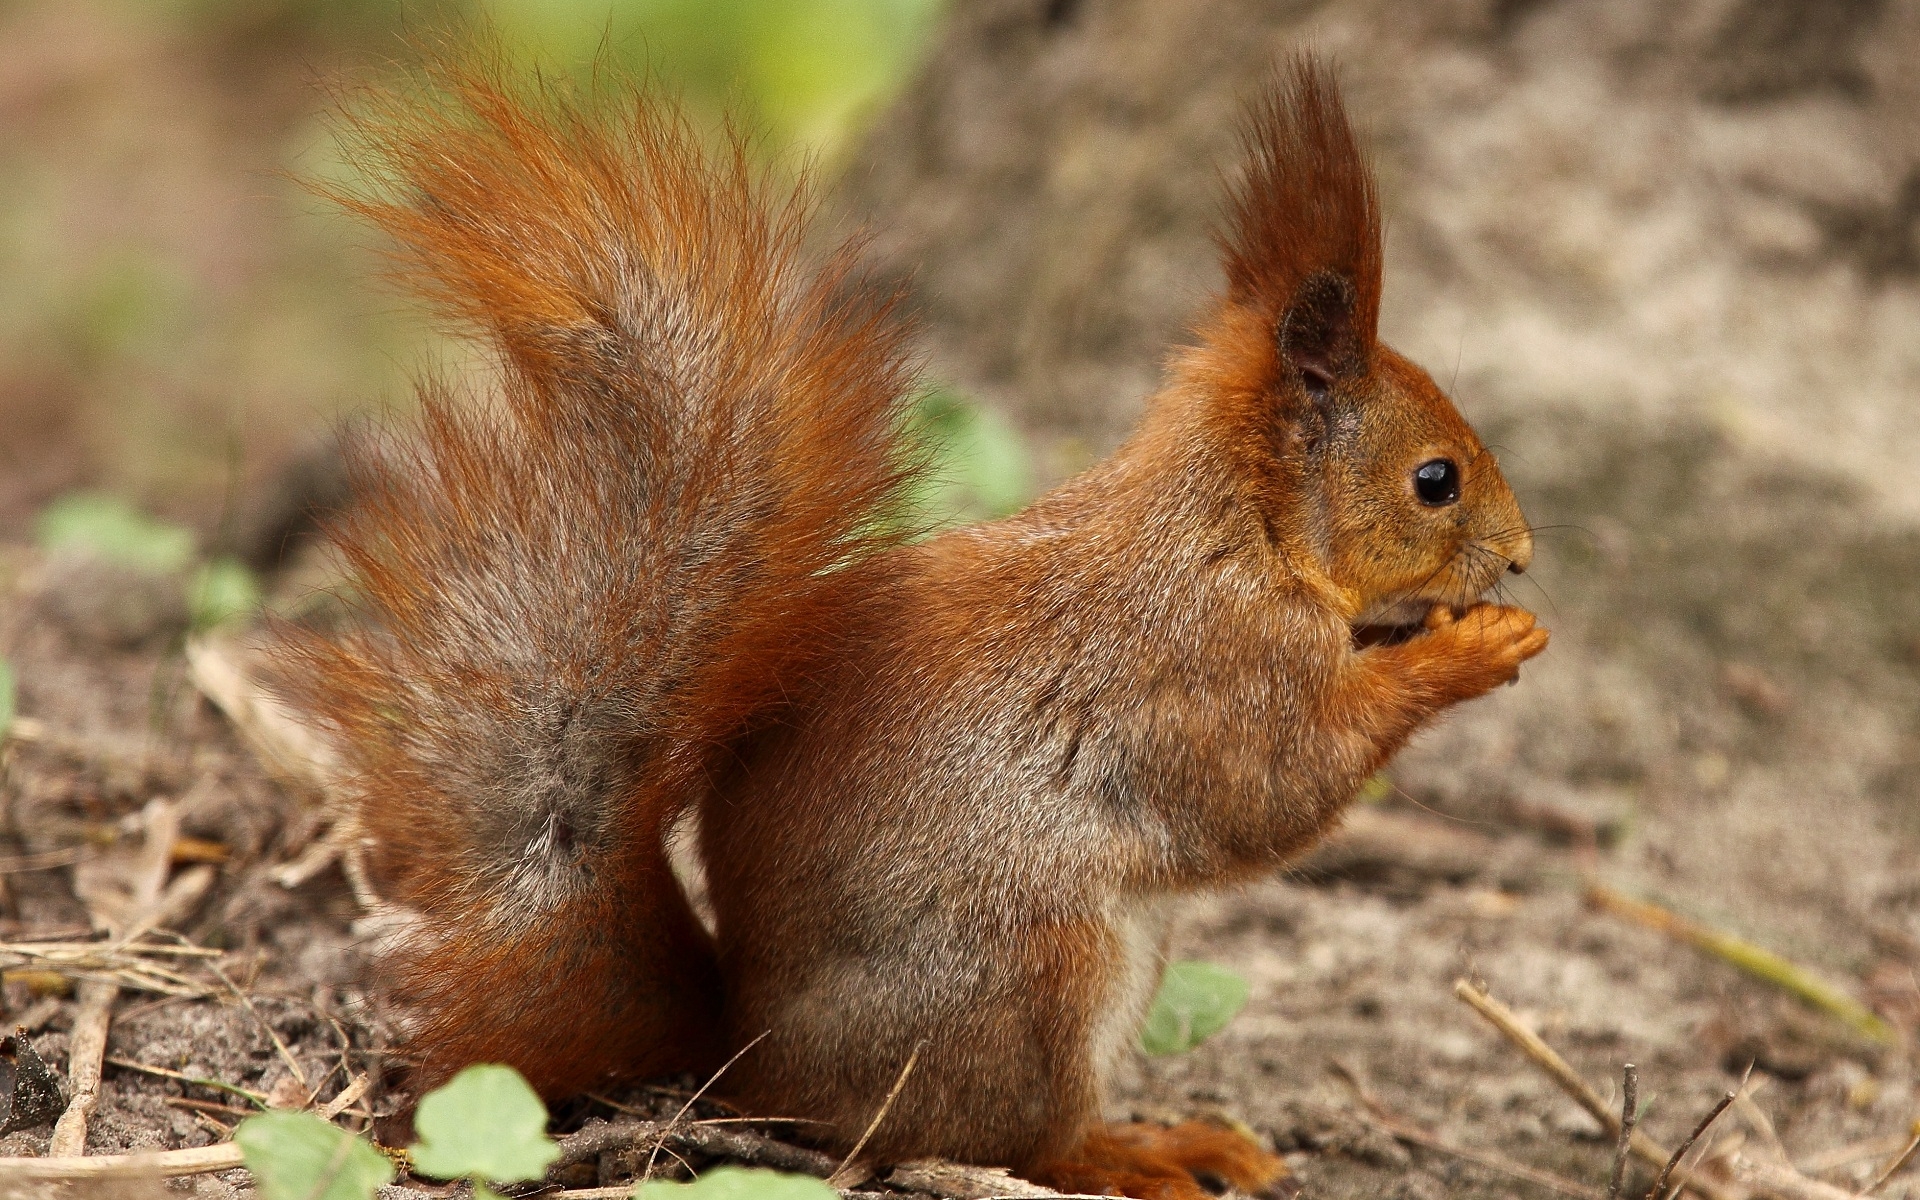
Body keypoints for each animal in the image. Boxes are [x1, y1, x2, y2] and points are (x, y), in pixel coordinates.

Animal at [278, 51, 1543, 1198]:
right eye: (1435, 480)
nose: (1524, 556)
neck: (1241, 528)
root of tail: (750, 1057)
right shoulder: (1204, 666)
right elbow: (1279, 786)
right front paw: (1470, 649)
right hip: (1037, 976)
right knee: (1013, 1141)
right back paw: (1139, 1153)